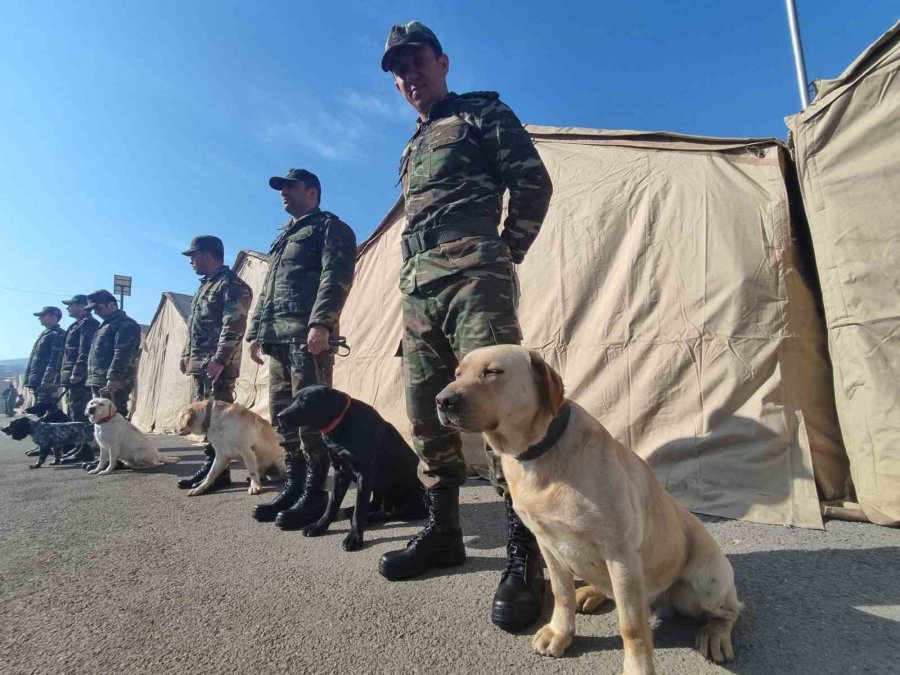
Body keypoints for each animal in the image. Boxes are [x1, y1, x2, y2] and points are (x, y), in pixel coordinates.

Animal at [278, 382, 426, 552]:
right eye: (292, 399)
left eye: (306, 401)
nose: (280, 416)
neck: (341, 424)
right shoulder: (340, 472)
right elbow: (332, 504)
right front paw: (319, 526)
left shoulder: (365, 474)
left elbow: (359, 510)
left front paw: (354, 537)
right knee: (378, 503)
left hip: (406, 499)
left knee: (391, 512)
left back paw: (370, 517)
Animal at [434, 346, 740, 672]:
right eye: (457, 374)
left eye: (492, 372)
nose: (442, 400)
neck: (541, 453)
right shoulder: (548, 544)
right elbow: (561, 593)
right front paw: (561, 632)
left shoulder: (620, 554)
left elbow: (632, 626)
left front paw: (637, 667)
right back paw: (590, 592)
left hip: (706, 581)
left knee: (730, 610)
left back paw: (716, 633)